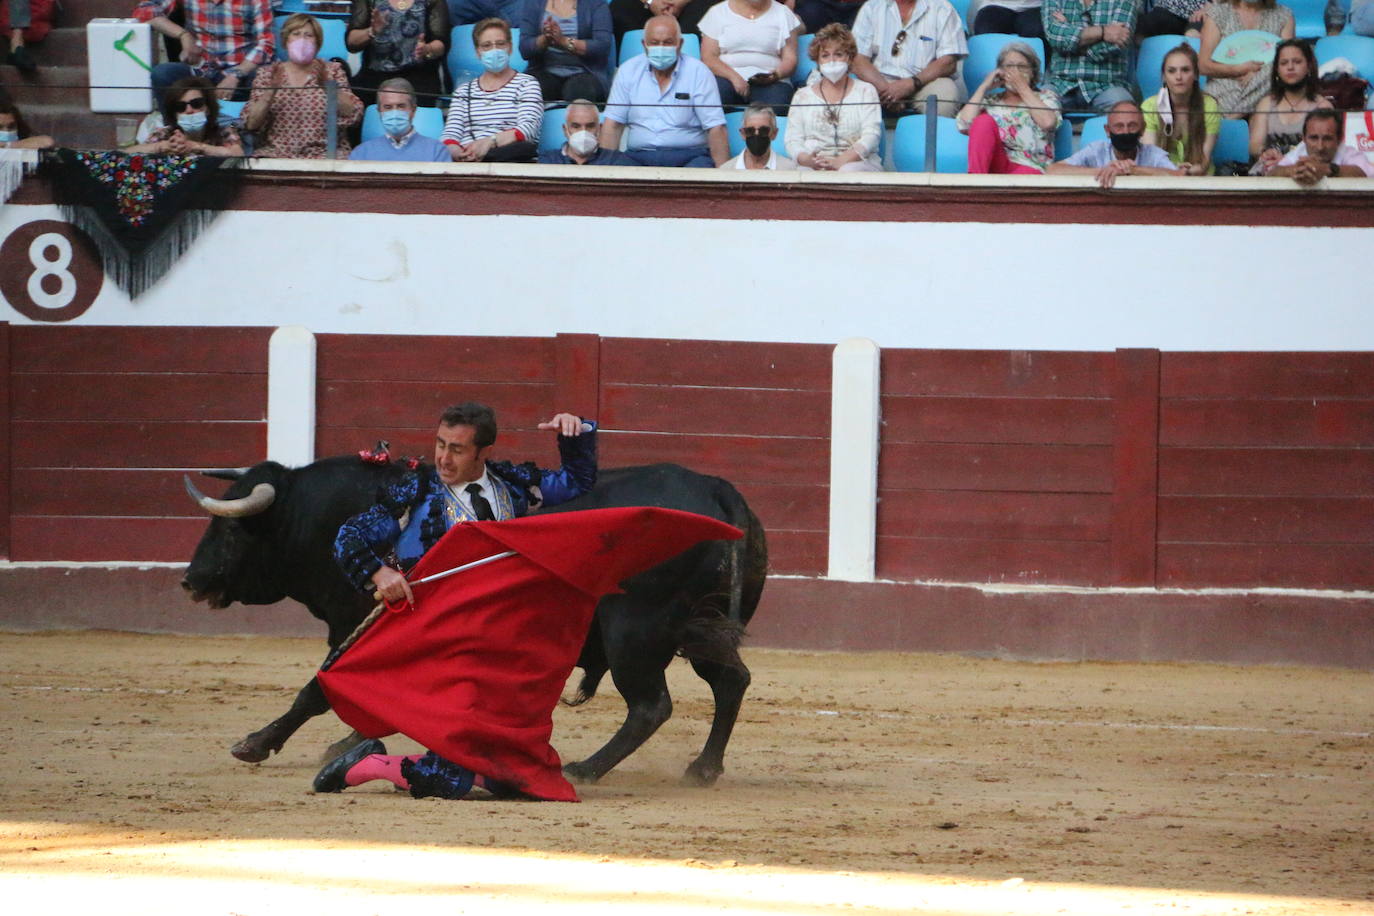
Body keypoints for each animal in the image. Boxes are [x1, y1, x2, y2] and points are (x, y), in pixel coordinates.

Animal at [177, 458, 769, 791]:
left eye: (230, 530)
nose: (190, 580)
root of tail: (718, 490)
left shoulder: (358, 623)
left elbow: (318, 688)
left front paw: (257, 742)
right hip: (703, 629)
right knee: (731, 682)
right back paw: (703, 768)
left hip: (635, 631)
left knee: (651, 706)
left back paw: (583, 769)